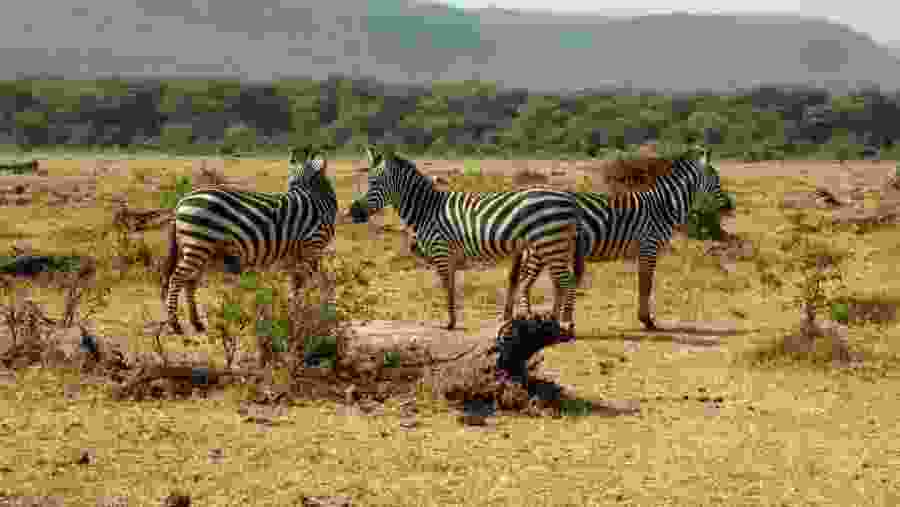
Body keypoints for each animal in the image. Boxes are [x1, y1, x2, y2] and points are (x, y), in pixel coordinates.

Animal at [160, 146, 338, 334]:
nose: (291, 190)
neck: (316, 197)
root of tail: (180, 202)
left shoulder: (295, 254)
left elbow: (296, 283)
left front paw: (296, 310)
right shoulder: (313, 246)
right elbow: (312, 281)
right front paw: (315, 308)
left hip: (202, 249)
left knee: (190, 282)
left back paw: (197, 323)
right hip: (197, 245)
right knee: (177, 278)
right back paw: (175, 324)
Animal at [350, 145, 586, 333]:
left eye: (373, 182)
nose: (353, 212)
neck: (427, 210)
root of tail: (571, 201)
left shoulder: (441, 250)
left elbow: (447, 287)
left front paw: (449, 323)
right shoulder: (451, 254)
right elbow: (452, 287)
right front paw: (452, 320)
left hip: (550, 243)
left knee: (567, 280)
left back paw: (567, 323)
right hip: (555, 245)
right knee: (560, 282)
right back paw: (554, 321)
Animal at [512, 147, 735, 330]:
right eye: (716, 179)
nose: (729, 206)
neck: (663, 206)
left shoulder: (643, 249)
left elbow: (643, 282)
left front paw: (645, 318)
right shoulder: (649, 246)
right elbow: (646, 283)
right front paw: (647, 320)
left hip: (543, 248)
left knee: (527, 282)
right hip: (543, 247)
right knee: (525, 281)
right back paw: (529, 318)